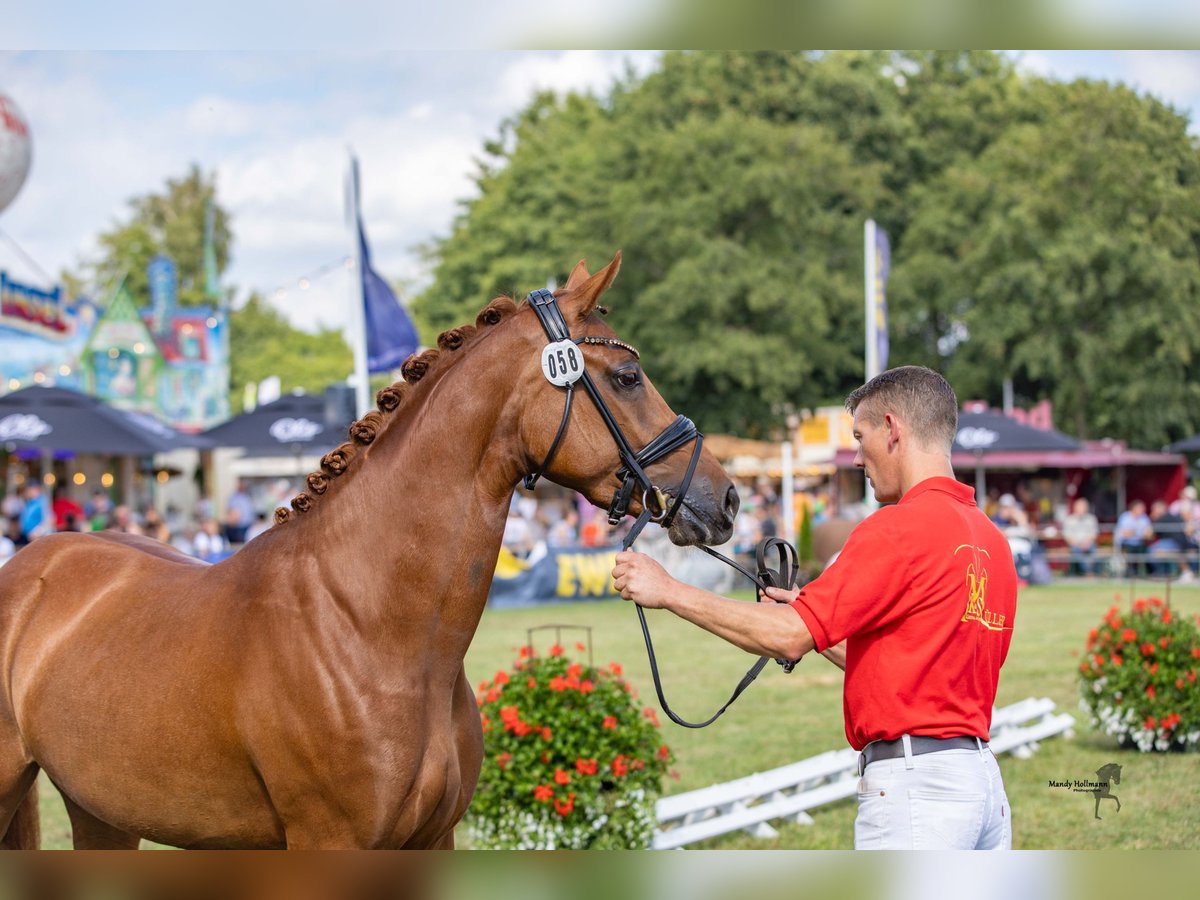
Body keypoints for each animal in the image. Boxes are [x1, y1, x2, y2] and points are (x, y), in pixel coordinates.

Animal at [0, 256, 739, 849]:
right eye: (628, 376)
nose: (725, 498)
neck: (365, 626)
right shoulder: (331, 842)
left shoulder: (433, 839)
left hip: (102, 812)